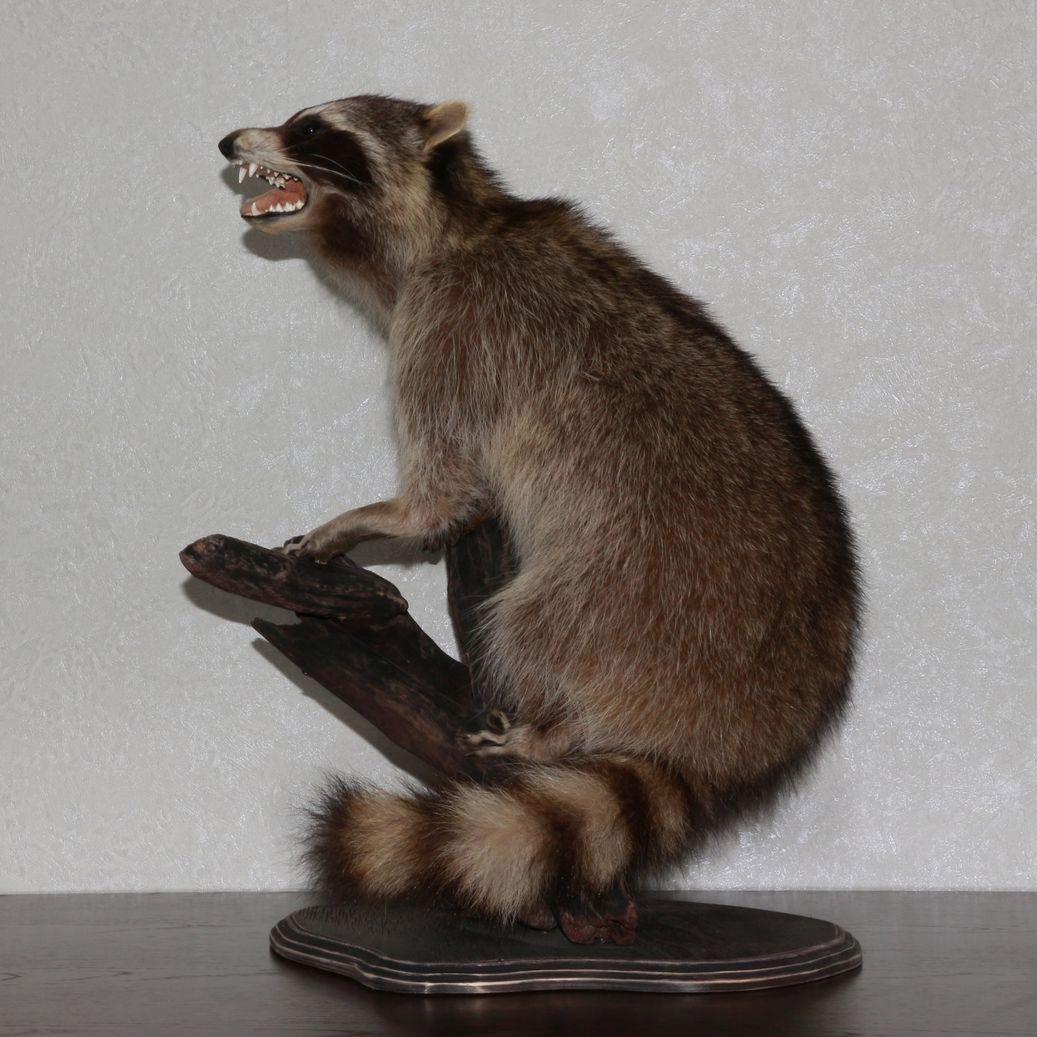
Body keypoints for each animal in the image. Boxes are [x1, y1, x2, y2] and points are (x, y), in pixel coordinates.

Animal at [218, 95, 862, 937]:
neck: (452, 223)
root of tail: (738, 739)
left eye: (312, 128)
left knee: (535, 615)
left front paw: (377, 516)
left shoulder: (449, 325)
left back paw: (553, 725)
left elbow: (446, 487)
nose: (228, 142)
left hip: (642, 597)